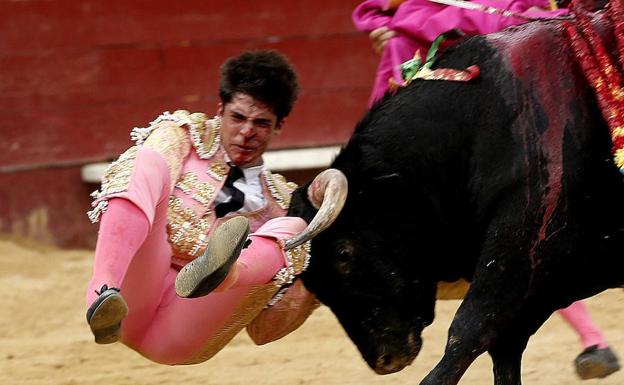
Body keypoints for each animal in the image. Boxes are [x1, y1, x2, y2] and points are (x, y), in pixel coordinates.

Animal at [286, 7, 624, 384]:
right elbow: (503, 352)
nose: (385, 360)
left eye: (343, 254)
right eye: (311, 283)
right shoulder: (538, 287)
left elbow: (468, 330)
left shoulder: (519, 253)